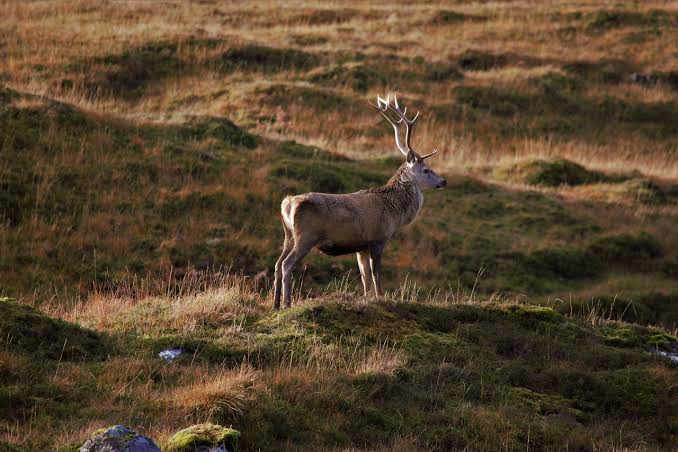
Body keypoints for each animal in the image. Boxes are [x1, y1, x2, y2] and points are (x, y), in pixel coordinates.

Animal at [273, 94, 446, 309]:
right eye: (426, 170)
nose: (444, 181)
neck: (394, 213)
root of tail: (288, 204)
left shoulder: (361, 247)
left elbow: (365, 278)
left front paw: (366, 298)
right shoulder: (377, 239)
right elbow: (376, 275)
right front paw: (380, 298)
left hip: (288, 235)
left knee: (277, 264)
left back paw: (275, 304)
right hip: (306, 235)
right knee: (287, 264)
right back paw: (286, 304)